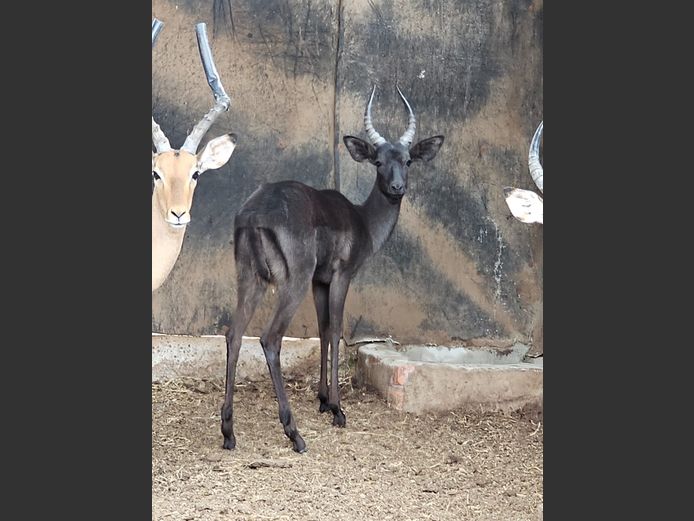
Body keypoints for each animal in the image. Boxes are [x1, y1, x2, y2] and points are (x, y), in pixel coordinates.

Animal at [221, 87, 444, 452]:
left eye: (408, 160)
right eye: (378, 161)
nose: (397, 188)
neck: (362, 221)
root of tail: (254, 213)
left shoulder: (319, 282)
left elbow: (324, 329)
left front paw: (324, 399)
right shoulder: (341, 276)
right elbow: (337, 328)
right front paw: (338, 409)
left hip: (250, 278)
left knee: (234, 334)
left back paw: (228, 431)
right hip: (291, 283)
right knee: (269, 338)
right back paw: (295, 434)